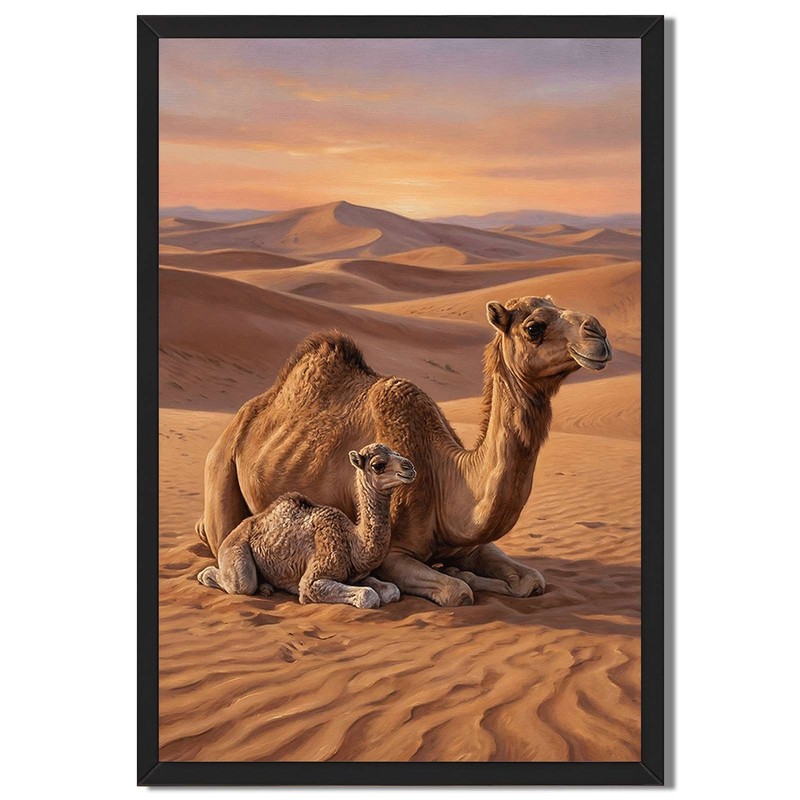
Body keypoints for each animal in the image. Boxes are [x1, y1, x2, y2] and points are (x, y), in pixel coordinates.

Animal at [197, 443, 416, 608]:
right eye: (378, 465)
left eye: (397, 453)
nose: (410, 467)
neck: (353, 542)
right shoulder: (312, 580)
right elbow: (368, 596)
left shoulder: (356, 576)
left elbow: (392, 591)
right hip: (235, 550)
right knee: (240, 583)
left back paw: (266, 587)